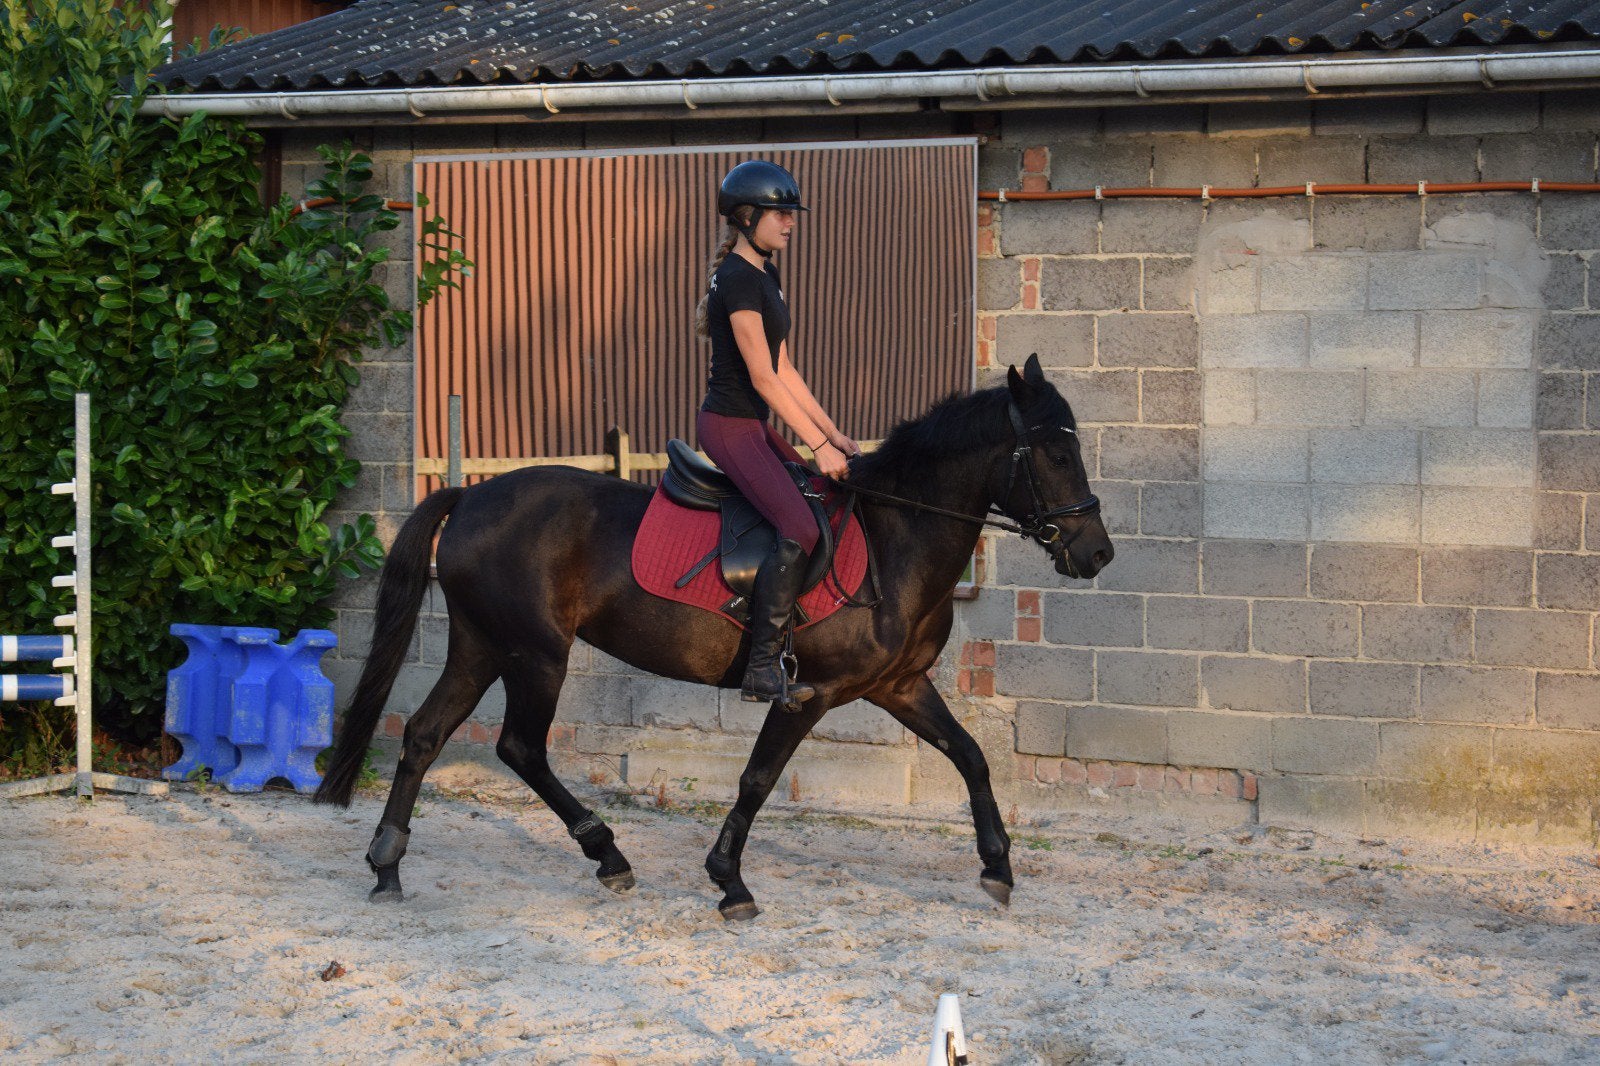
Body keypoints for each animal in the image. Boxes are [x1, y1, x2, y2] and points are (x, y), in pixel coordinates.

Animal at [315, 355, 1115, 920]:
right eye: (1054, 455)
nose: (1097, 553)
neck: (896, 536)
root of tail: (473, 494)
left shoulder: (898, 687)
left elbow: (972, 757)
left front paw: (998, 868)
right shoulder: (808, 693)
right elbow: (757, 779)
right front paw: (730, 883)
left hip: (483, 646)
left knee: (424, 735)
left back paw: (387, 866)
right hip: (536, 655)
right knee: (519, 747)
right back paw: (606, 854)